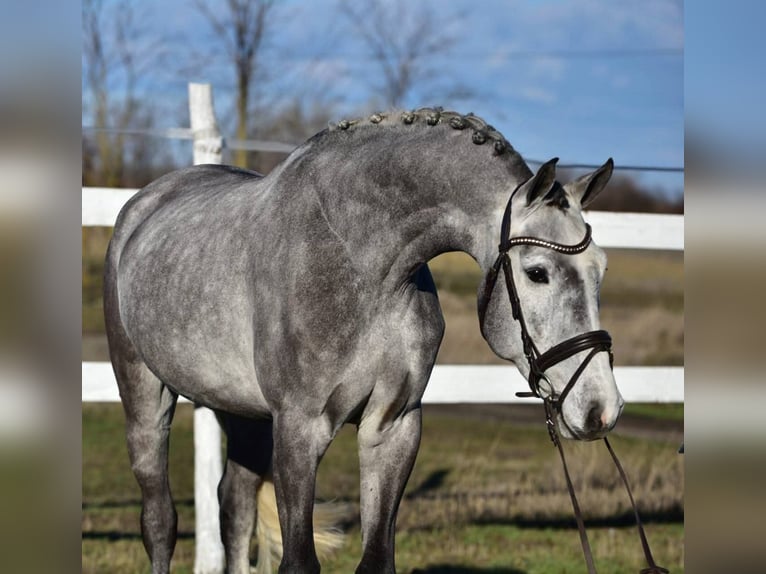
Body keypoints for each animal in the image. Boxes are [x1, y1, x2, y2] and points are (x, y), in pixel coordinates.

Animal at [104, 107, 623, 573]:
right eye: (537, 272)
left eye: (602, 268)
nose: (601, 408)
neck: (361, 262)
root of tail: (142, 205)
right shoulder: (299, 430)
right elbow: (298, 561)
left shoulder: (392, 427)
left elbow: (376, 559)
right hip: (145, 397)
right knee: (160, 522)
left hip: (244, 414)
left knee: (234, 511)